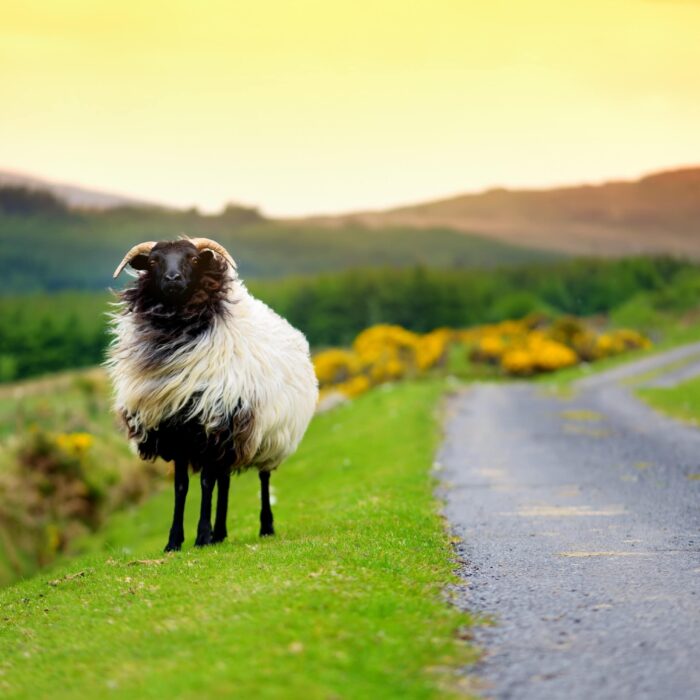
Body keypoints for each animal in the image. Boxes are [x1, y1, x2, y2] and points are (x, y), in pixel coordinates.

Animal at [106, 237, 318, 551]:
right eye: (154, 261)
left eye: (194, 260)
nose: (173, 279)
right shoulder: (177, 431)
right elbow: (182, 487)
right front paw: (175, 541)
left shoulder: (211, 425)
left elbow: (206, 483)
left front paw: (202, 536)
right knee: (225, 480)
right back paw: (221, 532)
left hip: (269, 434)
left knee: (263, 477)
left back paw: (265, 527)